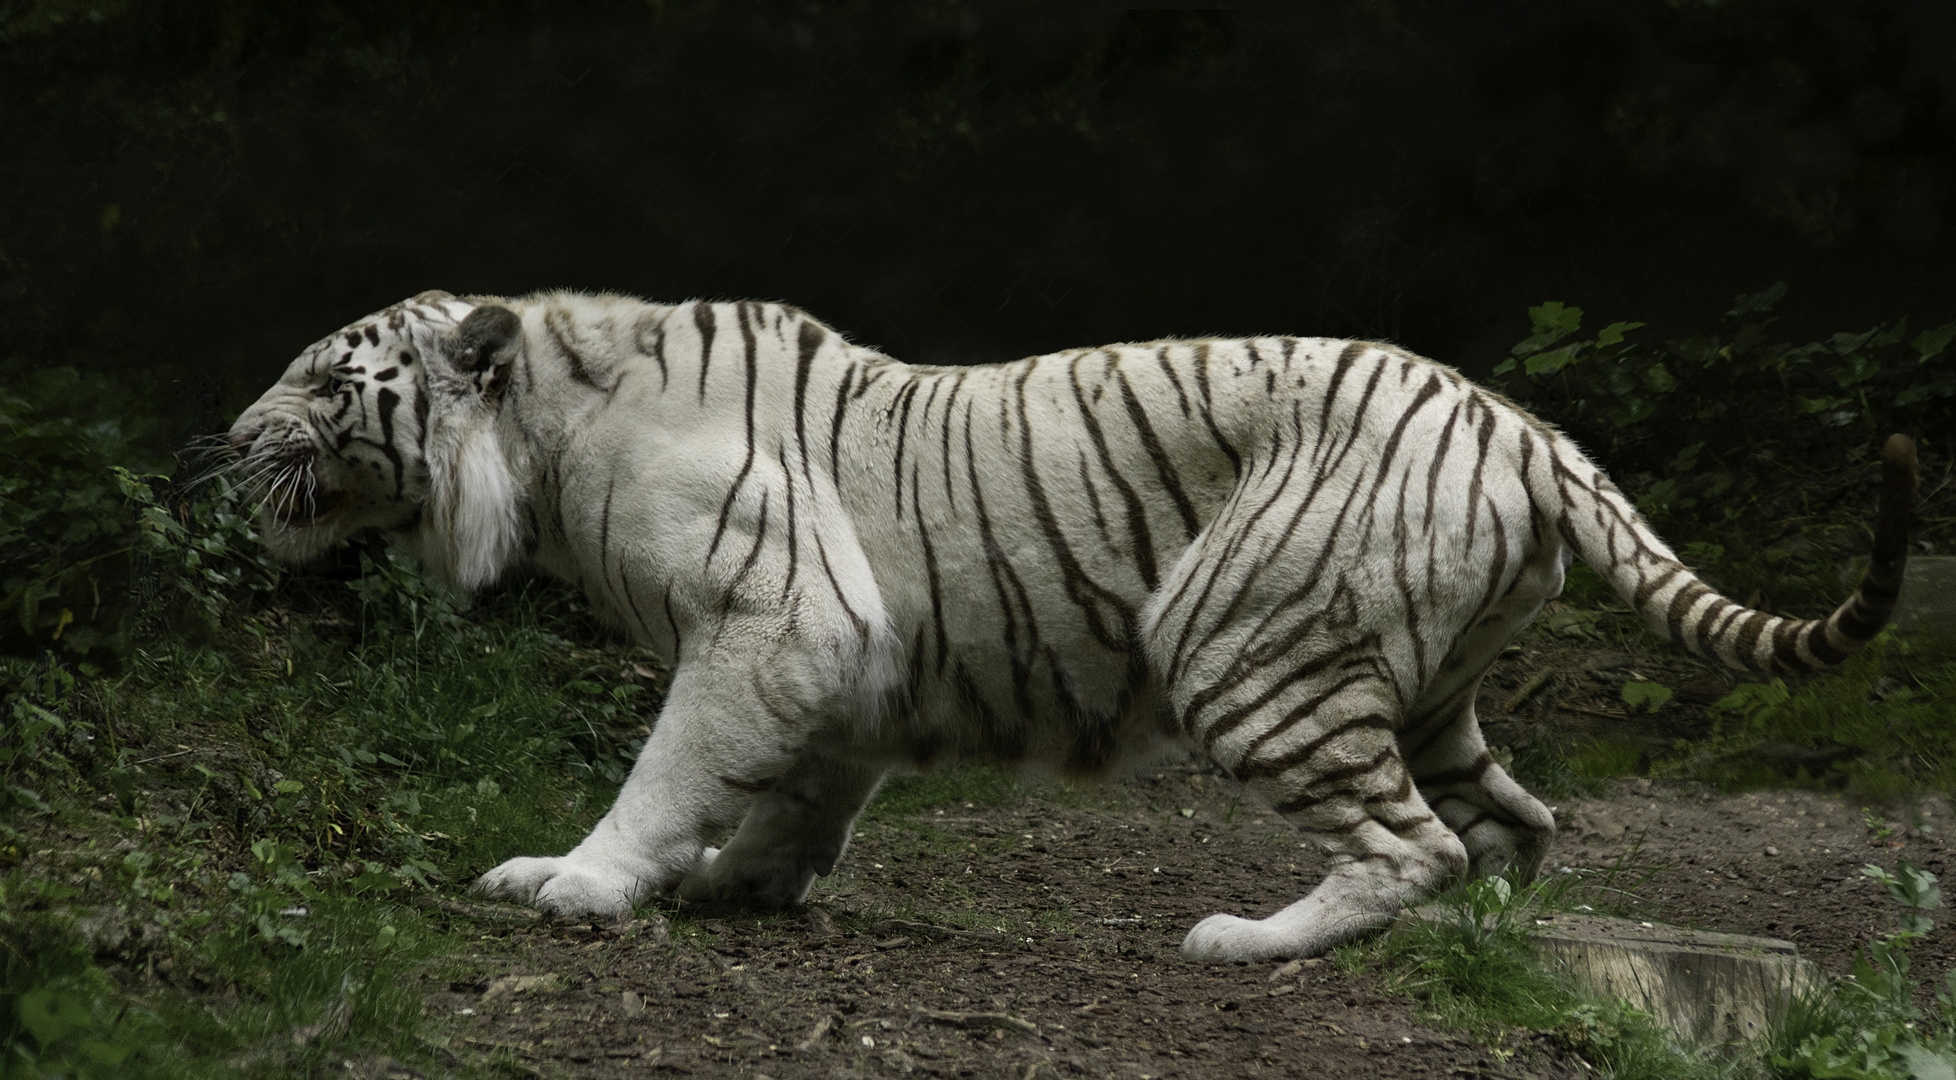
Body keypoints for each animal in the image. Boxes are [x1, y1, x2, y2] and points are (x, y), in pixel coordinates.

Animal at [224, 289, 1909, 962]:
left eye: (318, 377)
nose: (230, 441)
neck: (543, 444)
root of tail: (1528, 424)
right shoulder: (846, 652)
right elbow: (802, 792)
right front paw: (744, 885)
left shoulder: (775, 614)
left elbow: (667, 774)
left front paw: (575, 883)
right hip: (1428, 688)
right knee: (1514, 822)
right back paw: (1476, 939)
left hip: (1242, 644)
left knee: (1408, 840)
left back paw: (1254, 940)